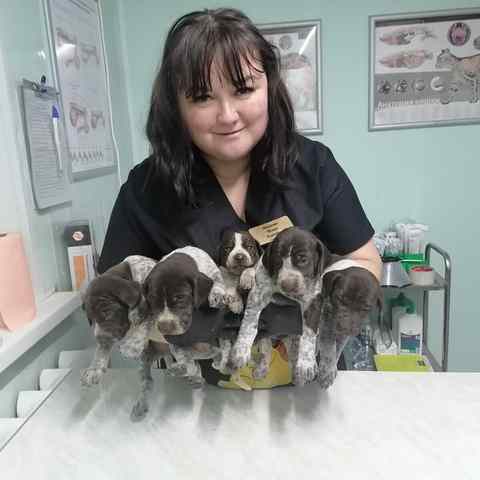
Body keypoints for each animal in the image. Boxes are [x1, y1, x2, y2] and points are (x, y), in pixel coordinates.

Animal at [227, 227, 332, 386]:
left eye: (303, 259)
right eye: (277, 261)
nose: (287, 285)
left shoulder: (313, 301)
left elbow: (309, 334)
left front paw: (306, 365)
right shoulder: (258, 294)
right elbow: (249, 325)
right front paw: (240, 351)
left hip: (293, 338)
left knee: (294, 352)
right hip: (265, 337)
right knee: (266, 351)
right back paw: (261, 369)